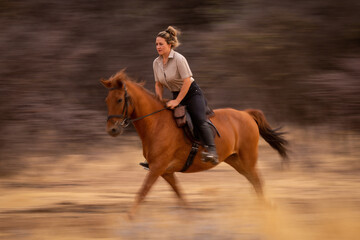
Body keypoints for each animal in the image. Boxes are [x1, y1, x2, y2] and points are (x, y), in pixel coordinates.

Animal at [100, 69, 288, 218]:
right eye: (106, 100)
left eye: (119, 100)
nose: (112, 130)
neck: (156, 123)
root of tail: (246, 114)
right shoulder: (165, 171)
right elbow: (180, 195)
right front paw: (191, 217)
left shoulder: (157, 168)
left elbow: (142, 192)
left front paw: (129, 218)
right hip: (236, 161)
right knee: (254, 182)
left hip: (248, 159)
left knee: (258, 182)